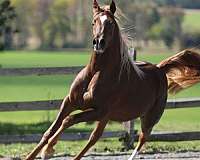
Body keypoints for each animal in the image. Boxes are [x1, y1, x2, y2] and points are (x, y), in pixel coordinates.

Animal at [26, 0, 200, 159]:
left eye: (110, 23)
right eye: (93, 21)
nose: (98, 43)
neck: (96, 72)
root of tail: (159, 69)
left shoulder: (99, 111)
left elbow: (68, 120)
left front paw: (48, 150)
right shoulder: (70, 102)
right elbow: (50, 130)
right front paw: (35, 153)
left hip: (149, 117)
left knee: (141, 139)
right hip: (107, 118)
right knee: (94, 139)